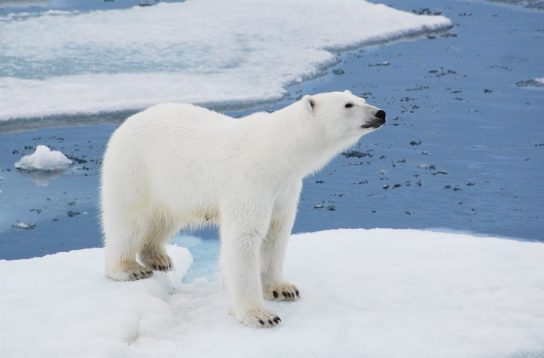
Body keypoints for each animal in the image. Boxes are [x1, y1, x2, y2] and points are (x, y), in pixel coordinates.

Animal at [100, 90, 384, 328]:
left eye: (362, 98)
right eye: (348, 105)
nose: (380, 113)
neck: (276, 154)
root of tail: (127, 123)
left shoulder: (284, 187)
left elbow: (276, 232)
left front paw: (282, 288)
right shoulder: (249, 181)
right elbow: (244, 237)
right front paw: (260, 315)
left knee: (164, 219)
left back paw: (158, 257)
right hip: (136, 169)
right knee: (128, 219)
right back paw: (128, 268)